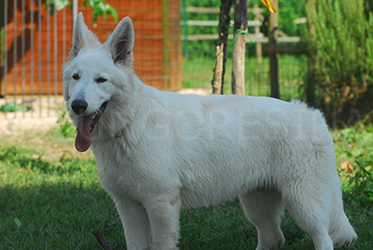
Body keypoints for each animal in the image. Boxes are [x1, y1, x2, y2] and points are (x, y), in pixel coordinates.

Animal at [64, 14, 358, 250]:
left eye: (101, 80)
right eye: (76, 77)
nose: (78, 105)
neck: (129, 124)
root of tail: (314, 116)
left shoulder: (161, 204)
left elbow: (161, 244)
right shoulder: (128, 207)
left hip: (304, 205)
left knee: (323, 239)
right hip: (257, 206)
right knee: (274, 239)